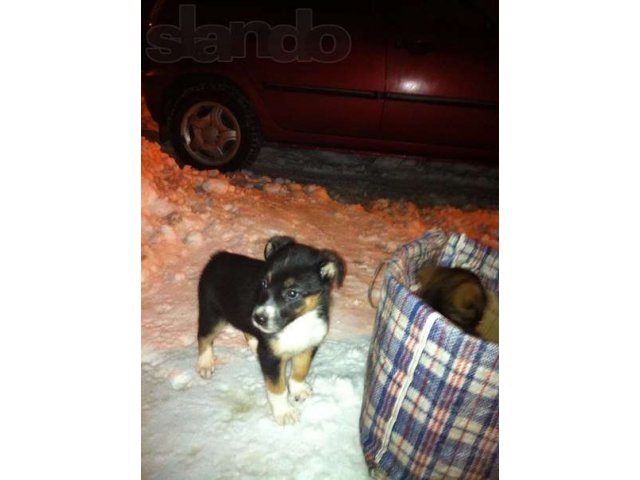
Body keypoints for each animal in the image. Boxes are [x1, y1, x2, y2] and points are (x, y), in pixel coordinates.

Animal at [198, 234, 344, 426]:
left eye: (292, 293)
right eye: (264, 283)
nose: (258, 318)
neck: (297, 323)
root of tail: (218, 257)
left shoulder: (309, 345)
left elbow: (301, 369)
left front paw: (298, 390)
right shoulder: (271, 357)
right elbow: (277, 388)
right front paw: (284, 412)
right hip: (212, 313)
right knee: (203, 337)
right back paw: (205, 363)